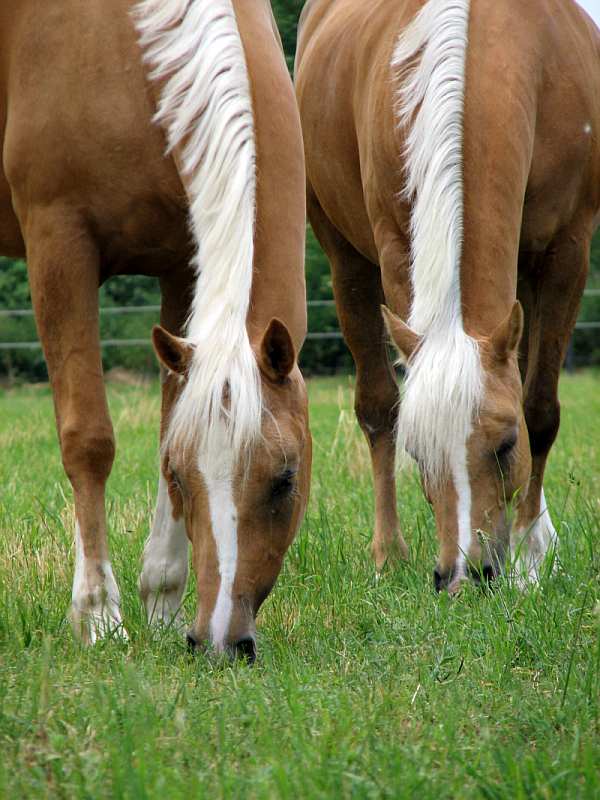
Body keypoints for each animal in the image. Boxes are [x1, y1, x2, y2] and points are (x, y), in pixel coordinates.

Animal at [0, 0, 310, 656]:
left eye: (285, 478)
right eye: (181, 478)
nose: (218, 641)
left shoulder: (180, 267)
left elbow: (171, 417)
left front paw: (162, 603)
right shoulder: (59, 244)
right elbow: (88, 439)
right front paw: (98, 615)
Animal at [296, 0, 600, 588]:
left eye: (505, 445)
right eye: (418, 452)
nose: (462, 576)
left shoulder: (568, 251)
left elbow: (539, 406)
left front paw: (531, 555)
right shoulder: (396, 245)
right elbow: (391, 405)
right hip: (343, 257)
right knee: (375, 403)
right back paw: (388, 553)